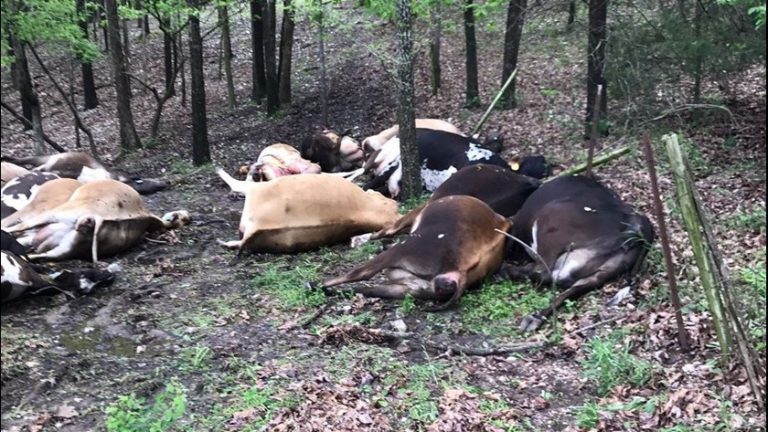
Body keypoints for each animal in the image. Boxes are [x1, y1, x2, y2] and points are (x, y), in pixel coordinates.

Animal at [314, 195, 511, 309]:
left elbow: (386, 230)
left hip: (405, 249)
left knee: (362, 272)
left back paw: (316, 284)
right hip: (412, 287)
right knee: (367, 287)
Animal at [503, 175, 655, 332]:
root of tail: (637, 222)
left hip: (551, 218)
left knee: (541, 272)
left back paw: (505, 271)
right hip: (603, 272)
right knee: (569, 288)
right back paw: (535, 317)